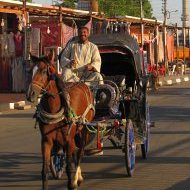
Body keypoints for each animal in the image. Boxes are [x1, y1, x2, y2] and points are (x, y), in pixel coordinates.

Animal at [26, 54, 94, 190]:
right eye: (31, 71)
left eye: (43, 71)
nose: (30, 94)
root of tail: (82, 84)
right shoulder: (46, 141)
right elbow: (45, 171)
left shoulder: (68, 141)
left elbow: (69, 168)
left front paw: (72, 184)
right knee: (76, 153)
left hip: (84, 128)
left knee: (80, 153)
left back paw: (76, 179)